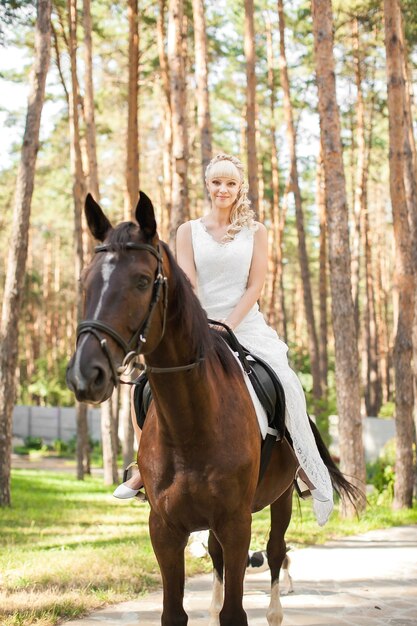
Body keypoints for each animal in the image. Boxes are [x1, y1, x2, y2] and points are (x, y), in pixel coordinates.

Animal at [67, 193, 354, 624]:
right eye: (85, 281)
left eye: (141, 281)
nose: (86, 374)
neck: (191, 425)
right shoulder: (164, 528)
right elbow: (175, 611)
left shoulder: (236, 524)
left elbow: (236, 611)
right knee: (220, 556)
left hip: (282, 498)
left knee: (276, 552)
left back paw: (274, 610)